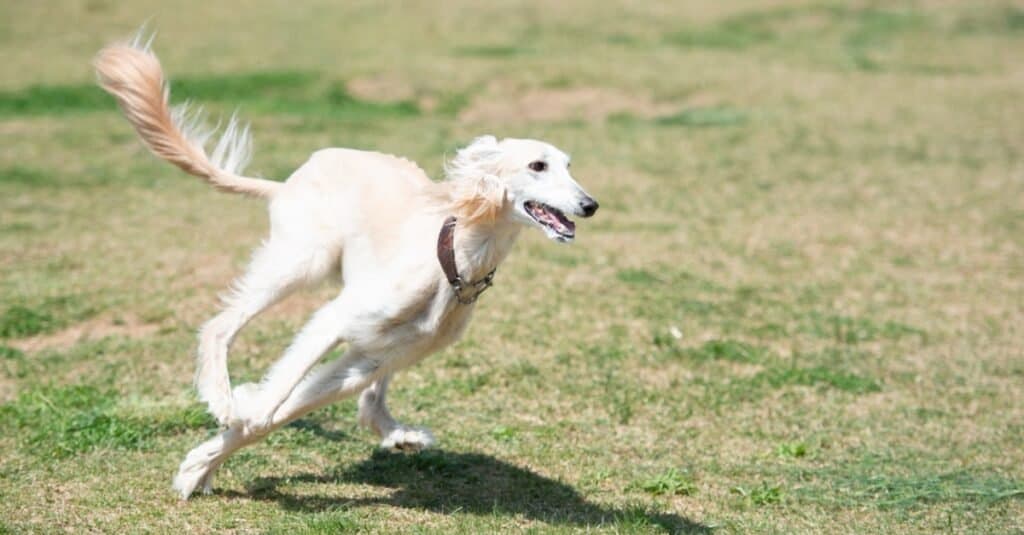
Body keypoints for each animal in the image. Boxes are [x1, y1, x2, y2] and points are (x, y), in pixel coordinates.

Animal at [94, 35, 598, 498]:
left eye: (570, 165)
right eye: (537, 165)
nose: (590, 205)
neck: (453, 260)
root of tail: (287, 180)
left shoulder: (366, 359)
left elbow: (286, 410)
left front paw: (200, 465)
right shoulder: (336, 318)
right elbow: (274, 400)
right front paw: (234, 417)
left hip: (377, 336)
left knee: (370, 400)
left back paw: (397, 433)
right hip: (301, 262)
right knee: (220, 325)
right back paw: (222, 393)